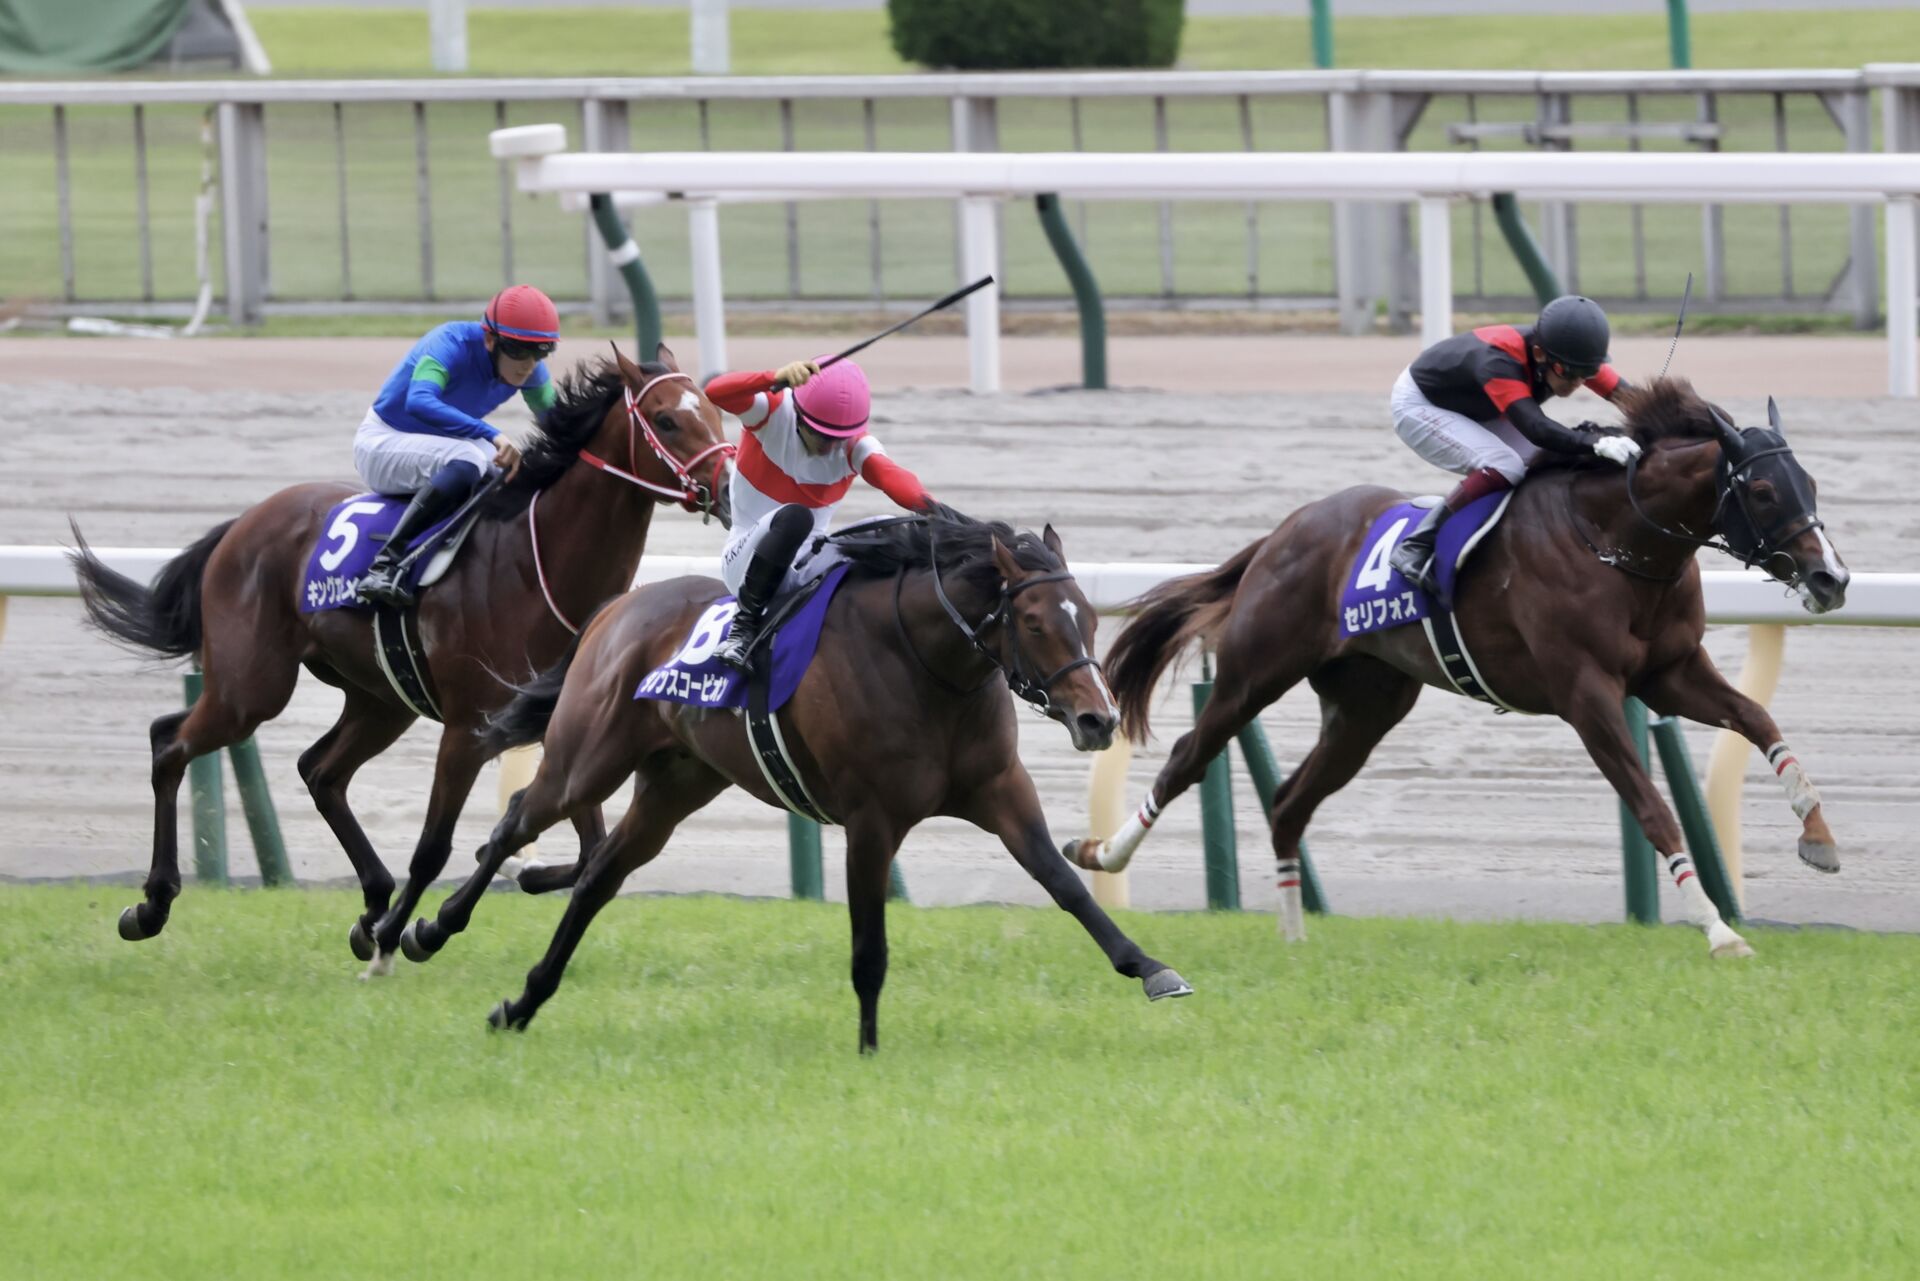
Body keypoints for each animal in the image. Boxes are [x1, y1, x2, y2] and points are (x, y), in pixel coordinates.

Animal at [71, 345, 729, 967]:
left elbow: (582, 844)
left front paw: (487, 884)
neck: (535, 562)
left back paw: (370, 904)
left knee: (320, 770)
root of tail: (244, 523)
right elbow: (434, 847)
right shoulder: (468, 728)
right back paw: (153, 904)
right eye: (667, 420)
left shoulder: (565, 726)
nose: (726, 488)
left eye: (715, 411)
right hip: (250, 686)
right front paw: (413, 931)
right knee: (170, 742)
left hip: (381, 701)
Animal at [399, 503, 1190, 1052]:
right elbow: (869, 946)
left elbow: (1063, 883)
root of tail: (618, 607)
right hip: (586, 759)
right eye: (1032, 621)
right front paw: (869, 1049)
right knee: (515, 820)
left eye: (1090, 619)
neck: (928, 667)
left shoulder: (1000, 789)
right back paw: (422, 930)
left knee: (598, 879)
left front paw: (1151, 966)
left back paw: (522, 1001)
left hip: (675, 785)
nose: (1097, 719)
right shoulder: (871, 820)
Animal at [1067, 376, 1843, 956]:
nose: (1832, 578)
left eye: (1809, 480)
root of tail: (1285, 531)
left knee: (1290, 800)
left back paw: (1293, 935)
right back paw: (1104, 854)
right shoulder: (1586, 693)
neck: (1615, 541)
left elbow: (1757, 718)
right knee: (1186, 759)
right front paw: (1717, 929)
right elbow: (1652, 806)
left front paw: (1819, 837)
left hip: (1368, 706)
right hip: (1253, 673)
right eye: (1764, 490)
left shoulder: (1670, 671)